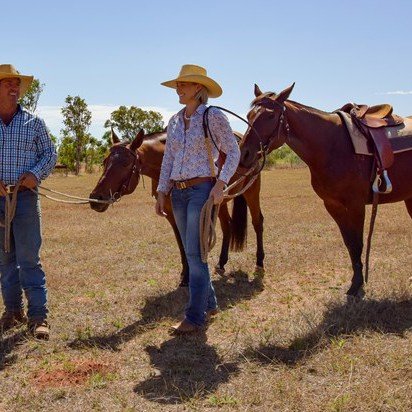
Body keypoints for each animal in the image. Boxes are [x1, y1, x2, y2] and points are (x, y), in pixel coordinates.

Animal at [89, 130, 266, 286]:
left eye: (126, 163)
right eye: (104, 162)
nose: (96, 198)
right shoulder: (172, 215)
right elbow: (181, 244)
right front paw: (185, 276)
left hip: (251, 191)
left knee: (257, 222)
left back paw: (259, 263)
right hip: (219, 202)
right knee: (227, 225)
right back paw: (221, 263)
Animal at [240, 83, 412, 296]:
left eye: (270, 116)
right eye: (249, 115)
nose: (244, 154)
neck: (332, 146)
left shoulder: (356, 205)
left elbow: (357, 243)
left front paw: (357, 285)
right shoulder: (332, 205)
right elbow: (349, 243)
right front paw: (356, 282)